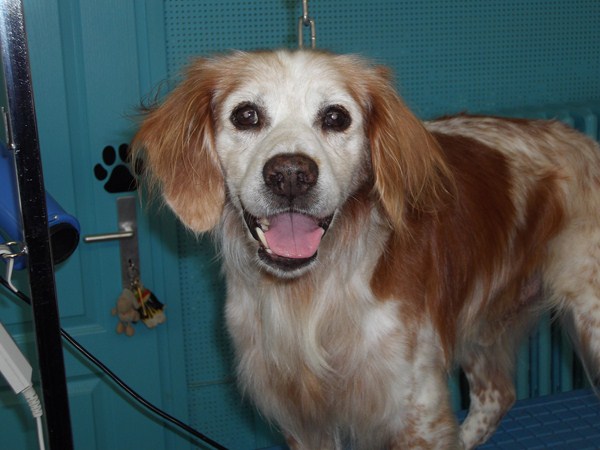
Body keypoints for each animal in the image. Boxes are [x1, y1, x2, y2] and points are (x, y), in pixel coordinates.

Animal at [132, 49, 600, 449]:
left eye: (335, 117)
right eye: (246, 115)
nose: (290, 175)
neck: (313, 294)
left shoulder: (416, 412)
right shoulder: (304, 421)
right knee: (497, 394)